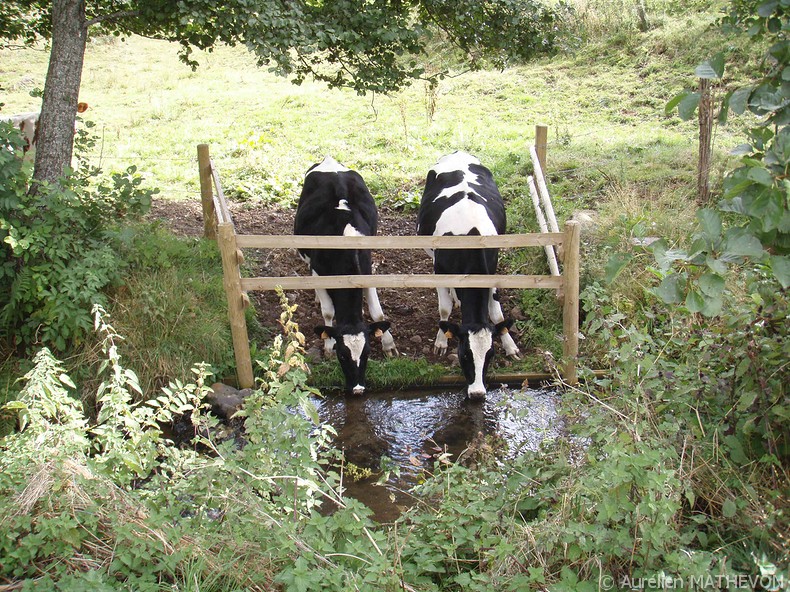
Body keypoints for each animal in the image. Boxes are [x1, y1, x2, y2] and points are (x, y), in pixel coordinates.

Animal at [296, 157, 400, 396]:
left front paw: (389, 345)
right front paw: (327, 347)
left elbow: (378, 313)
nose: (358, 389)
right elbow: (328, 311)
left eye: (367, 352)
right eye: (342, 355)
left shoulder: (367, 270)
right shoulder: (317, 271)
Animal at [418, 150, 524, 400]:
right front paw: (440, 341)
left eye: (490, 354)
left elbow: (496, 314)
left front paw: (510, 345)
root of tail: (458, 152)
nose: (477, 393)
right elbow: (444, 308)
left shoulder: (491, 270)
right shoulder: (439, 269)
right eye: (464, 353)